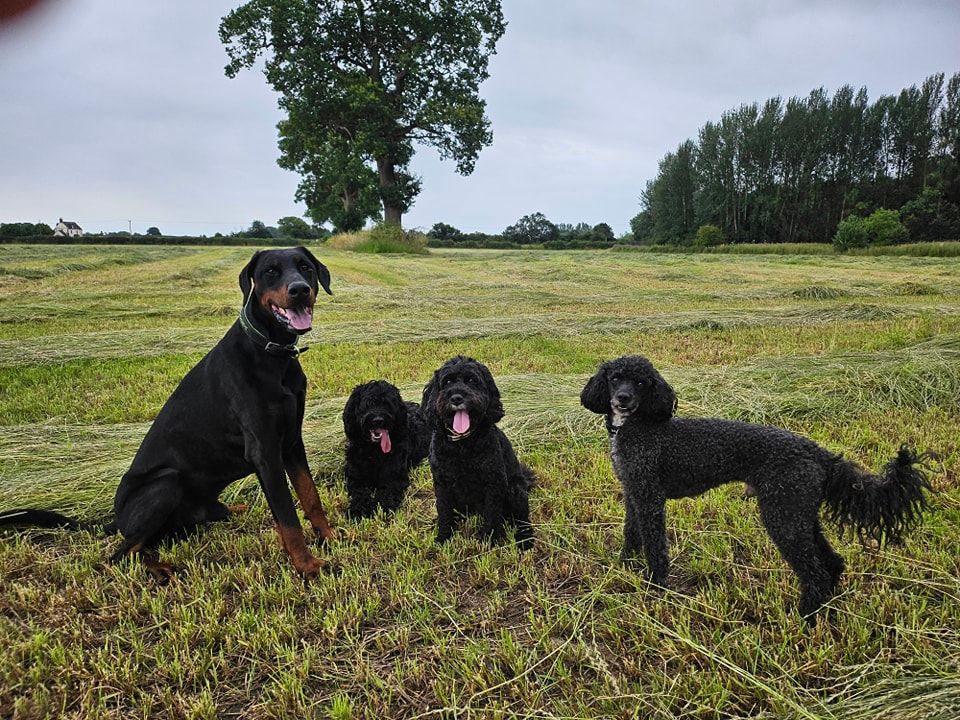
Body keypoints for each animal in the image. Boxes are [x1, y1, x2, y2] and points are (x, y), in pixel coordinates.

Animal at [340, 382, 426, 516]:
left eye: (388, 404)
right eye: (368, 404)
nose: (378, 420)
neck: (374, 451)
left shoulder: (394, 477)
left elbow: (388, 492)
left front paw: (385, 506)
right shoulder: (356, 478)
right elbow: (359, 494)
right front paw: (359, 509)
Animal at [424, 358, 536, 548]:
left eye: (471, 380)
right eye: (447, 382)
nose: (456, 398)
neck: (462, 444)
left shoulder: (493, 483)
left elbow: (492, 513)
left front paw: (489, 539)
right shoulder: (442, 483)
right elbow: (444, 511)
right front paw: (443, 536)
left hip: (514, 491)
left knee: (522, 519)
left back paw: (525, 538)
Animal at [580, 356, 932, 624]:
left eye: (642, 383)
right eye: (615, 377)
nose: (622, 398)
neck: (639, 426)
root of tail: (816, 452)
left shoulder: (650, 498)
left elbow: (654, 546)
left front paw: (655, 587)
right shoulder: (633, 494)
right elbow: (631, 533)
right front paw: (624, 565)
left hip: (782, 514)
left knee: (814, 571)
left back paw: (804, 618)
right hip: (799, 512)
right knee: (831, 562)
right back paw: (824, 608)